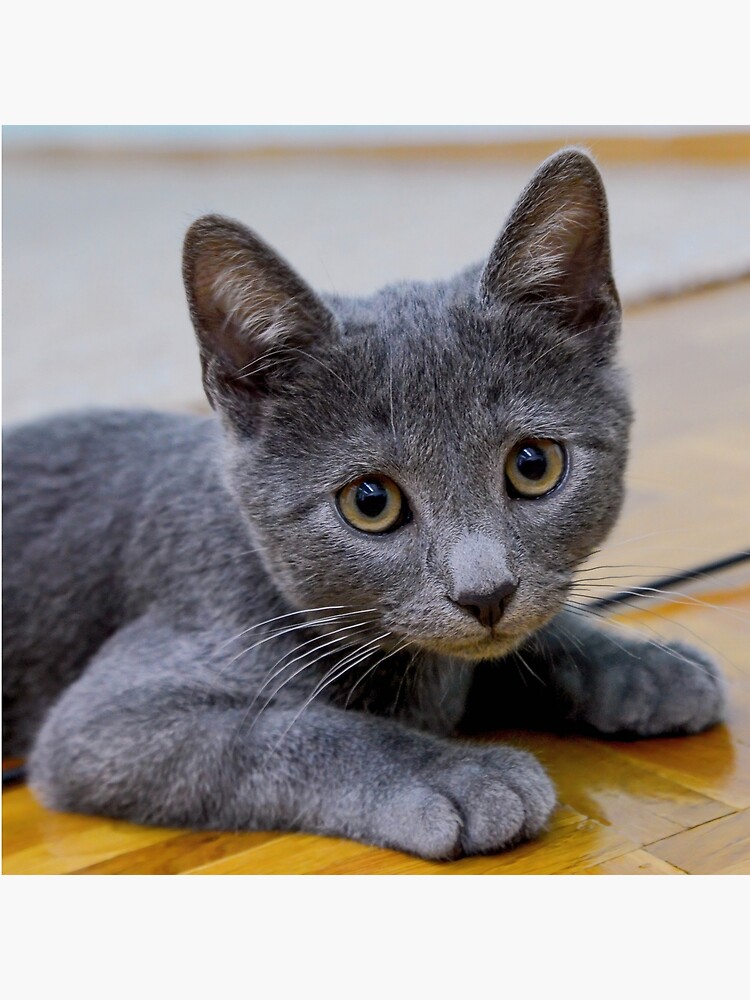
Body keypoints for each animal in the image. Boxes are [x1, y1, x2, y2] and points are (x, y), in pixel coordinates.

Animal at [1, 150, 728, 860]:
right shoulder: (106, 723)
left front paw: (643, 666)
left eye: (533, 465)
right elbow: (282, 729)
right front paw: (459, 776)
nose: (485, 594)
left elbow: (538, 635)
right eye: (369, 502)